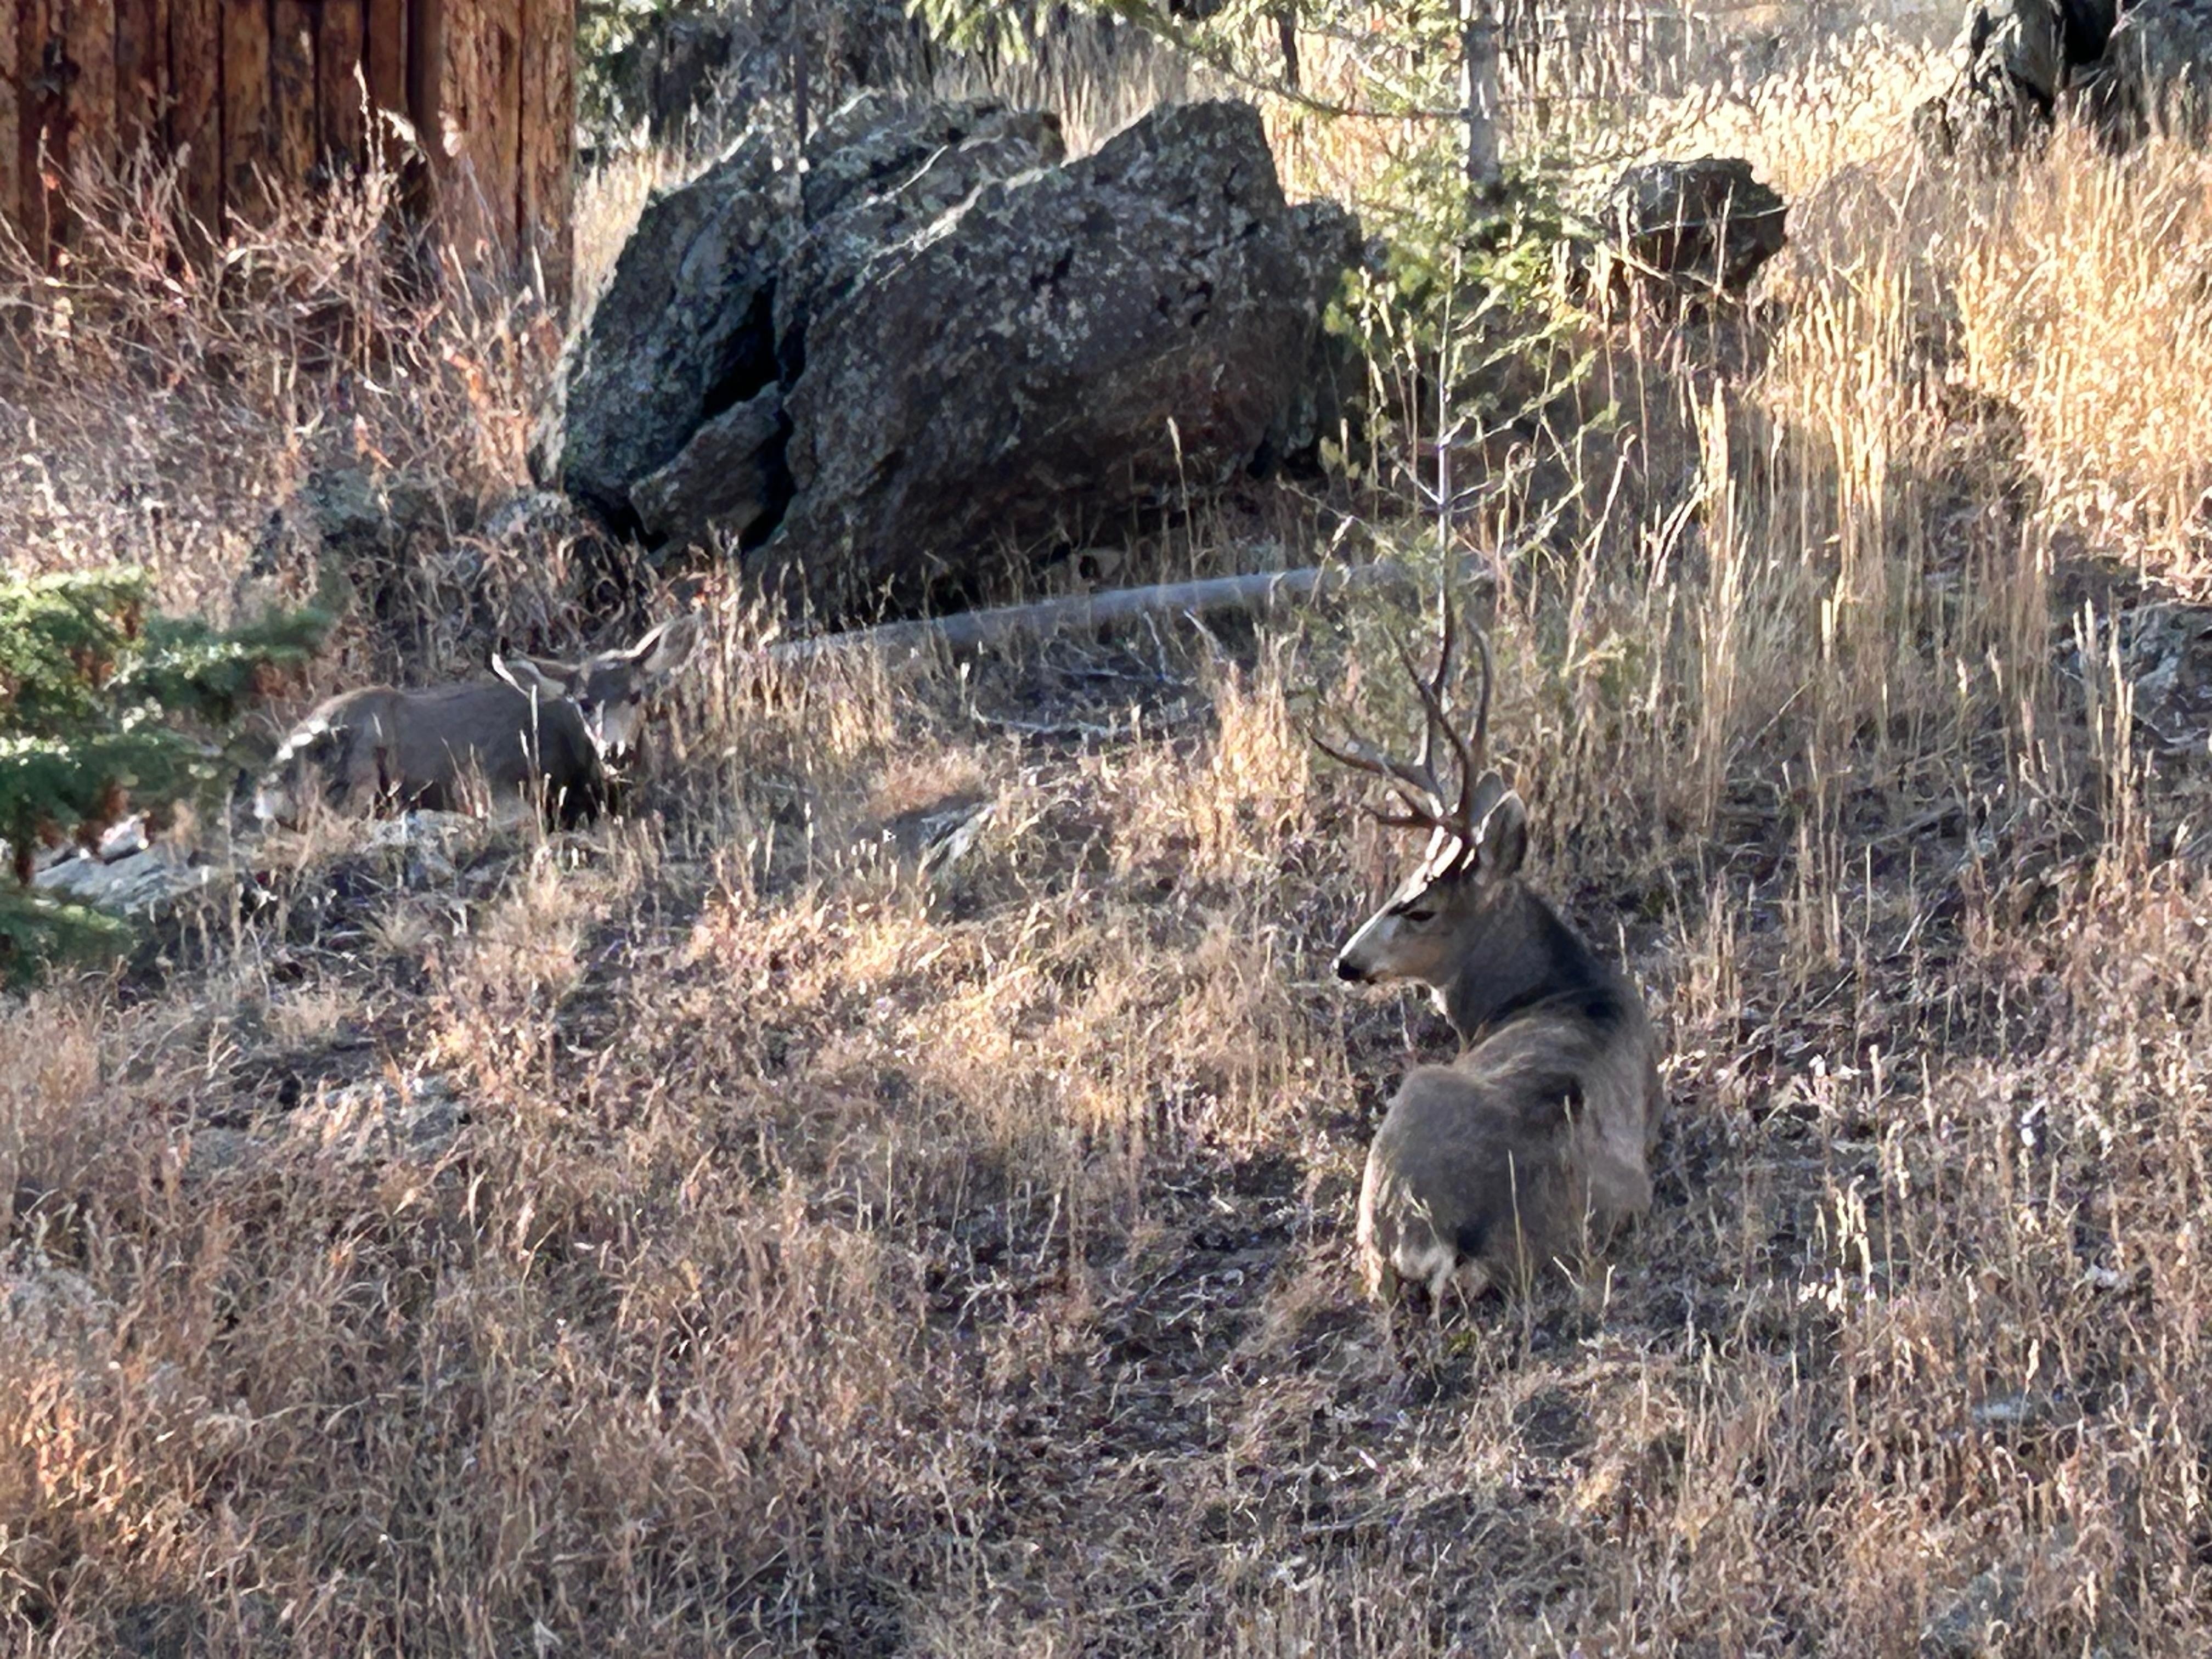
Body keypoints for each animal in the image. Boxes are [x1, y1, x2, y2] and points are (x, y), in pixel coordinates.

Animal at [1315, 597, 1664, 1305]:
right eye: (1400, 884)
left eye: (1419, 908)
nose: (1345, 962)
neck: (1563, 987)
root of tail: (1449, 1237)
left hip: (1410, 1107)